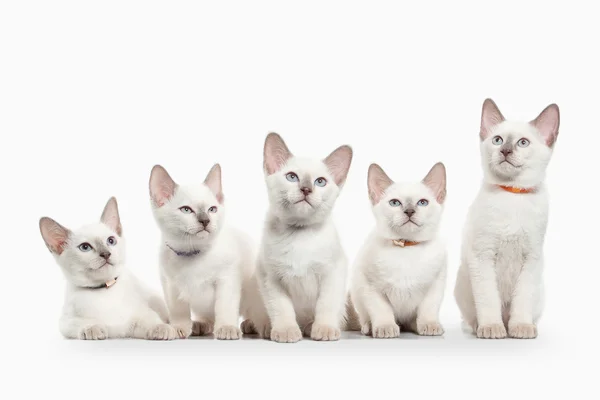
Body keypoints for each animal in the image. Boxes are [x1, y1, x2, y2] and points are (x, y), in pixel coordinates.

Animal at [39, 197, 173, 340]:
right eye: (85, 247)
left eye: (111, 240)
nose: (106, 254)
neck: (104, 290)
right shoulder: (65, 322)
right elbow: (81, 323)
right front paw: (93, 328)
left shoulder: (137, 318)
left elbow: (151, 321)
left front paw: (162, 329)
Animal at [150, 162, 255, 340]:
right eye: (186, 210)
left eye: (212, 209)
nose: (205, 220)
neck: (193, 253)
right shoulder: (171, 285)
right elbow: (178, 310)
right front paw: (179, 327)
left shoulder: (227, 280)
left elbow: (224, 306)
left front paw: (226, 327)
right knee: (208, 318)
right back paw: (200, 325)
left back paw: (252, 324)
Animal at [247, 133, 354, 342]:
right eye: (292, 177)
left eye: (320, 181)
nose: (306, 189)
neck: (299, 235)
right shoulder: (270, 277)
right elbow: (282, 308)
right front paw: (286, 331)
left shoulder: (333, 272)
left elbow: (326, 304)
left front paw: (324, 329)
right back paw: (261, 327)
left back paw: (310, 327)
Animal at [352, 162, 446, 338]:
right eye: (395, 203)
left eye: (422, 202)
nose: (409, 211)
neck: (406, 248)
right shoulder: (371, 286)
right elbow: (382, 309)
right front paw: (385, 327)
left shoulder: (434, 285)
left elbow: (428, 309)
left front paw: (429, 325)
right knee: (365, 317)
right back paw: (368, 327)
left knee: (410, 321)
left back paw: (416, 325)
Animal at [458, 98, 560, 340]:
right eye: (498, 140)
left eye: (523, 143)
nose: (505, 150)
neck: (513, 195)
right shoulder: (483, 256)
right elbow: (489, 300)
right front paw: (492, 328)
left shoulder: (531, 258)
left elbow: (521, 300)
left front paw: (520, 328)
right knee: (473, 318)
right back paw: (482, 327)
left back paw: (526, 326)